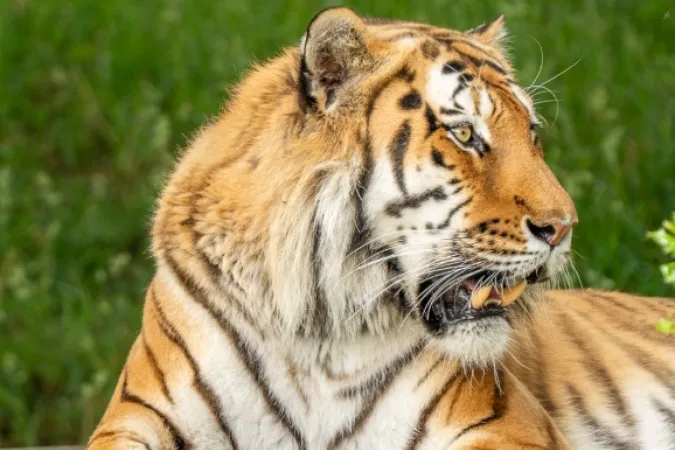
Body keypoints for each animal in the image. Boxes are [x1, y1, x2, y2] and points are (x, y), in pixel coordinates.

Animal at [86, 7, 675, 450]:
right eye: (465, 135)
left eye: (531, 133)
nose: (564, 227)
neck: (316, 329)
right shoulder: (138, 413)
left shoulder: (507, 422)